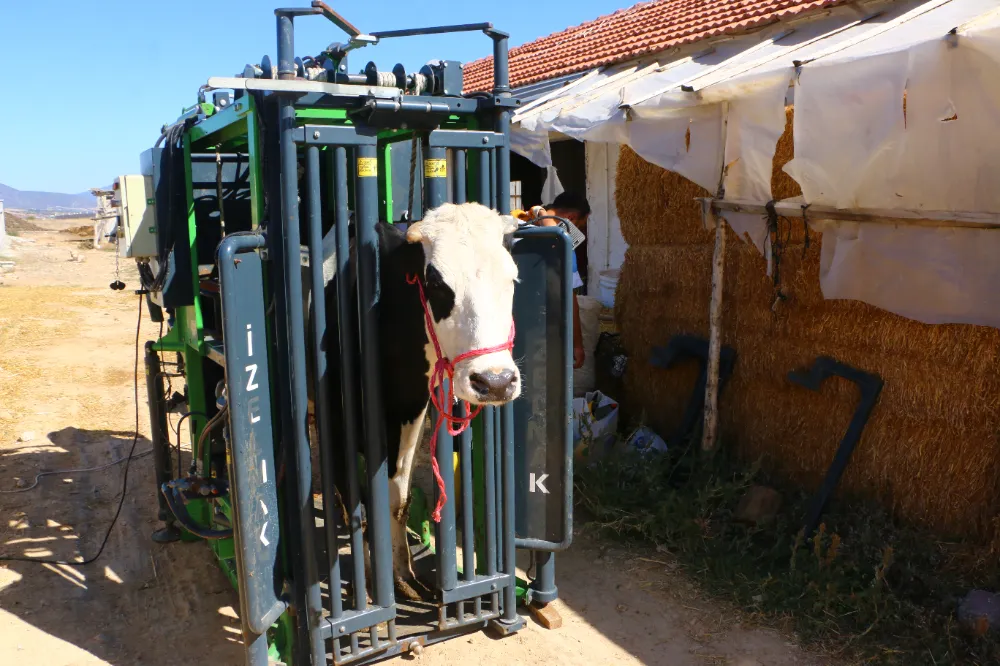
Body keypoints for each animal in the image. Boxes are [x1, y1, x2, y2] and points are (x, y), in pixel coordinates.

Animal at [308, 201, 520, 596]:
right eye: (436, 283)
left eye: (511, 280)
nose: (495, 381)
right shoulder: (336, 422)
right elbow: (360, 505)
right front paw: (371, 589)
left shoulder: (409, 413)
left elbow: (397, 501)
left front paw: (403, 575)